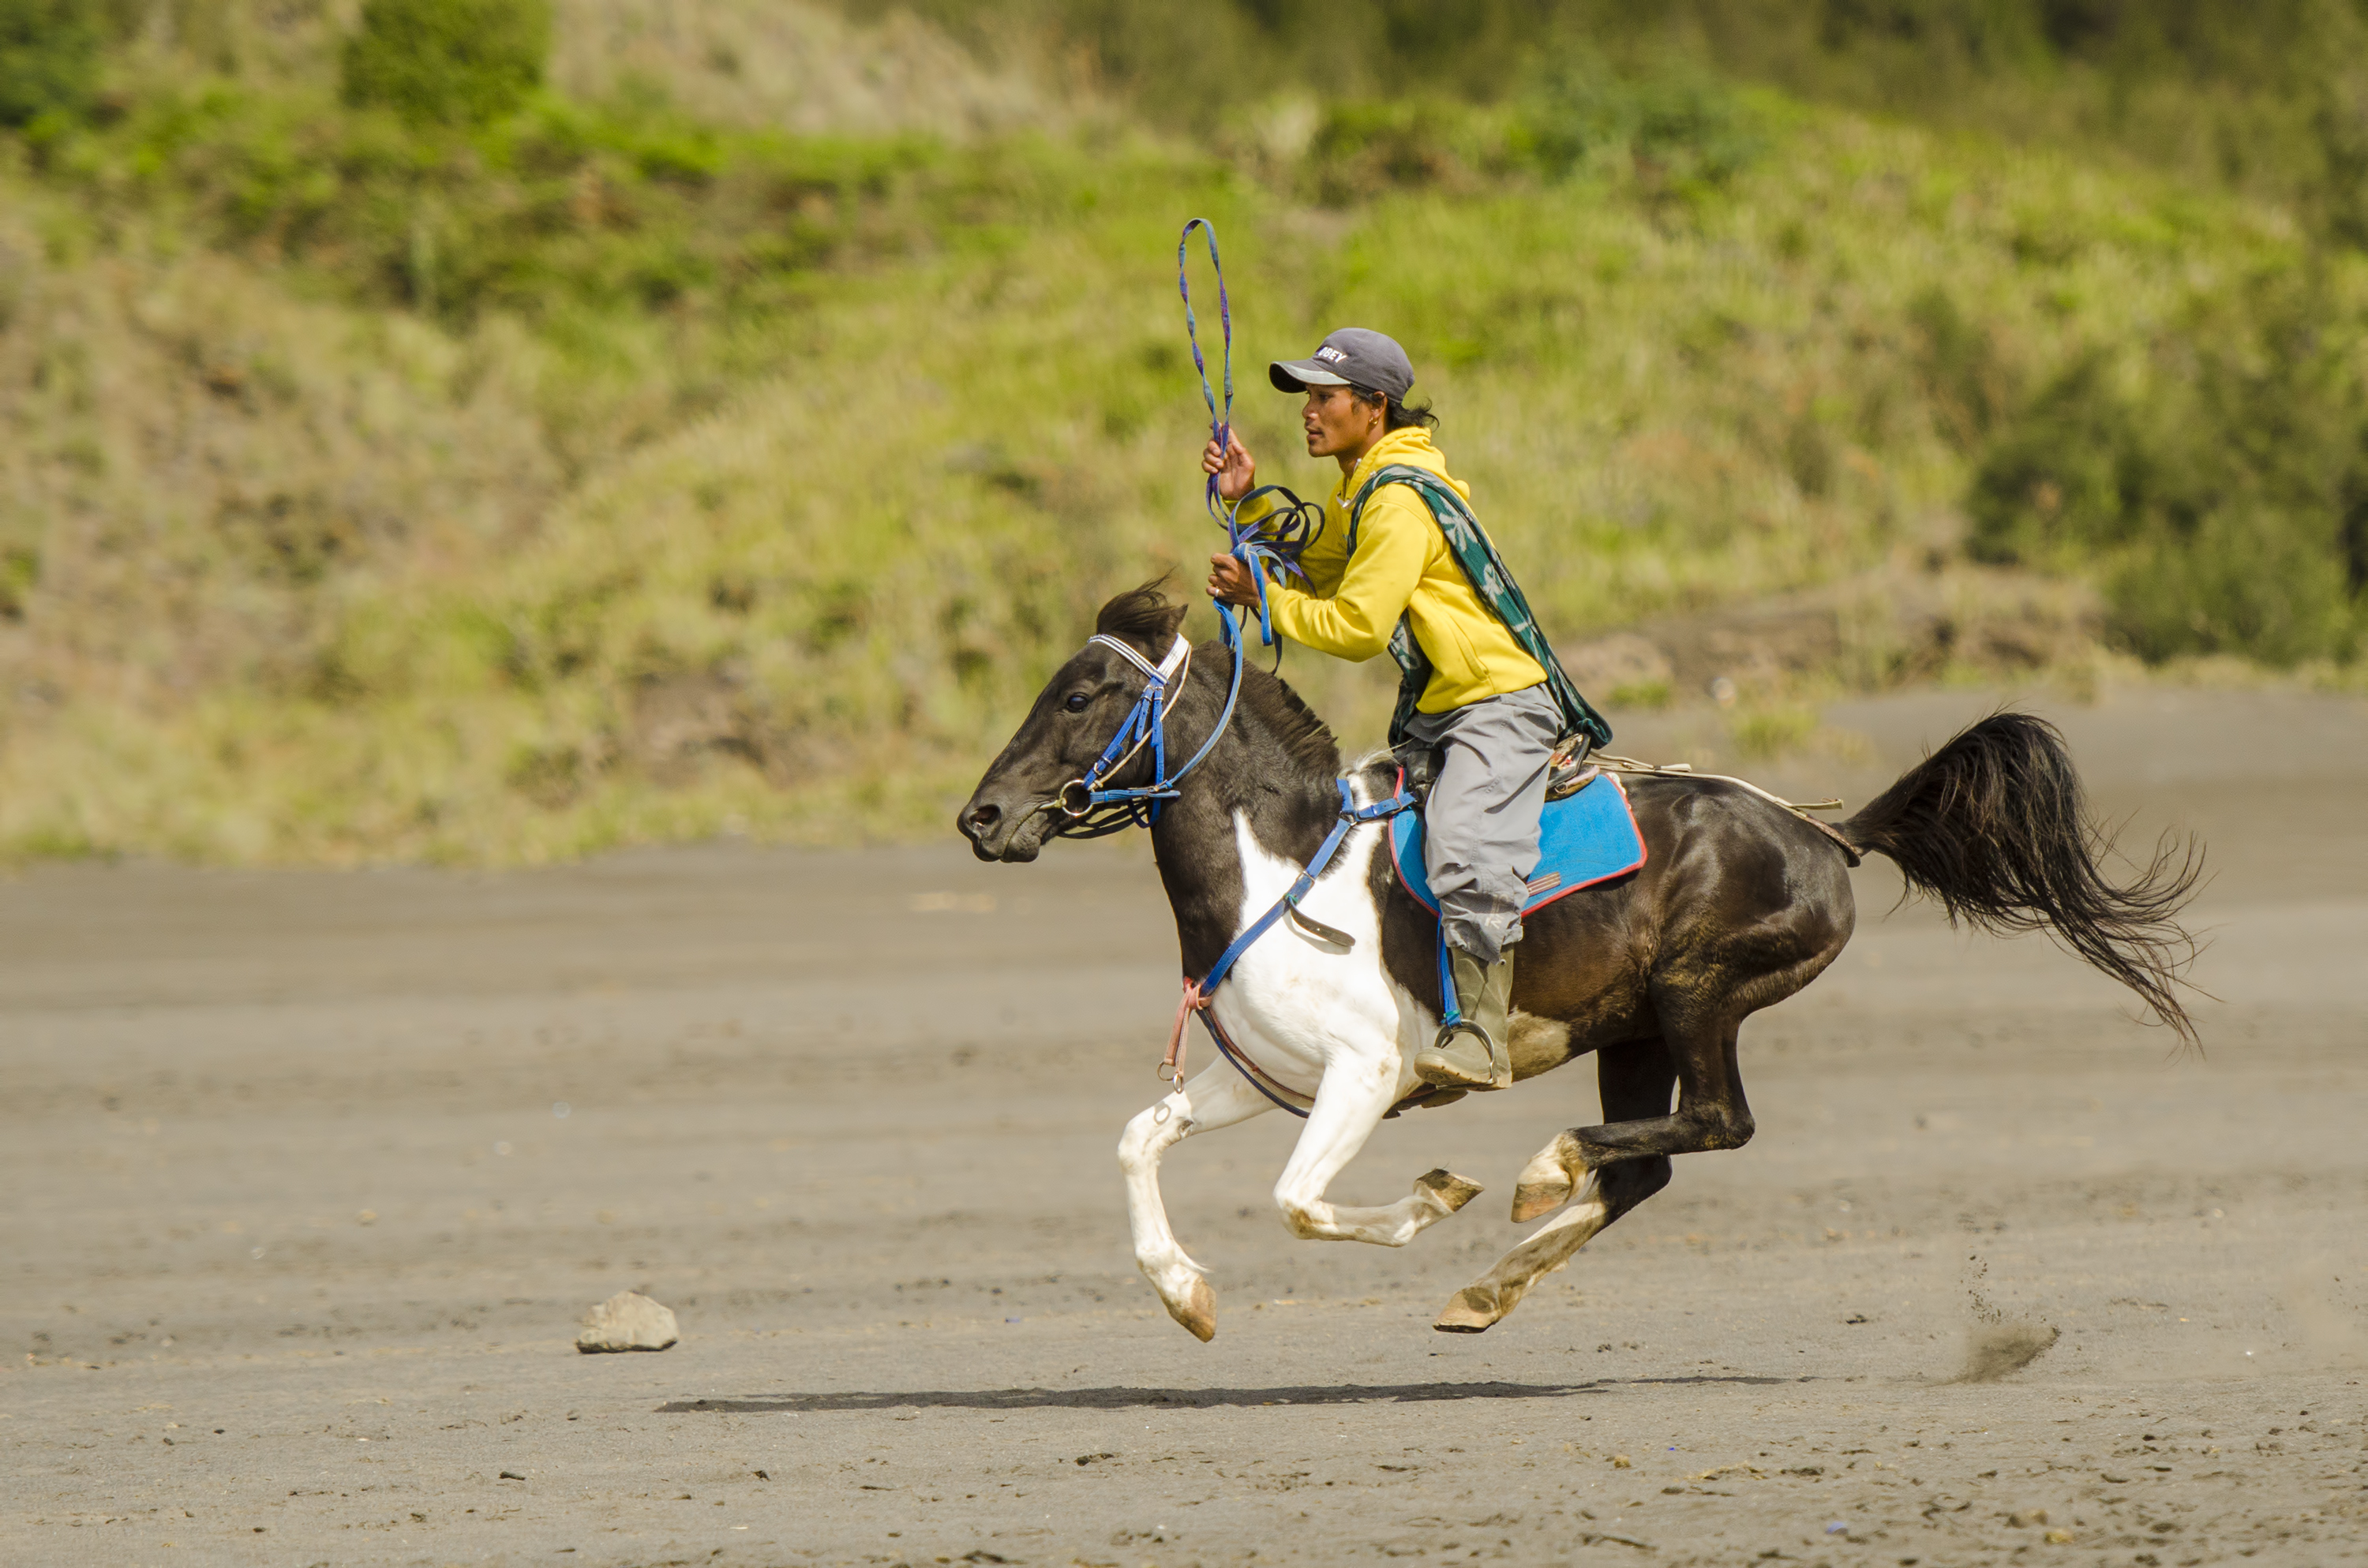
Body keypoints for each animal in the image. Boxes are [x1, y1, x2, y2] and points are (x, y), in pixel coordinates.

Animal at [957, 582, 2198, 1345]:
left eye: (1080, 695)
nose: (982, 816)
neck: (1287, 870)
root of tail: (1827, 834)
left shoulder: (1365, 1073)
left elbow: (1300, 1201)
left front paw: (1435, 1193)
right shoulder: (1269, 1074)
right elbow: (1140, 1138)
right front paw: (1187, 1296)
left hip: (1698, 994)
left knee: (1713, 1123)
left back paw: (1539, 1171)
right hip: (1635, 1025)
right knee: (1652, 1162)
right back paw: (1488, 1286)